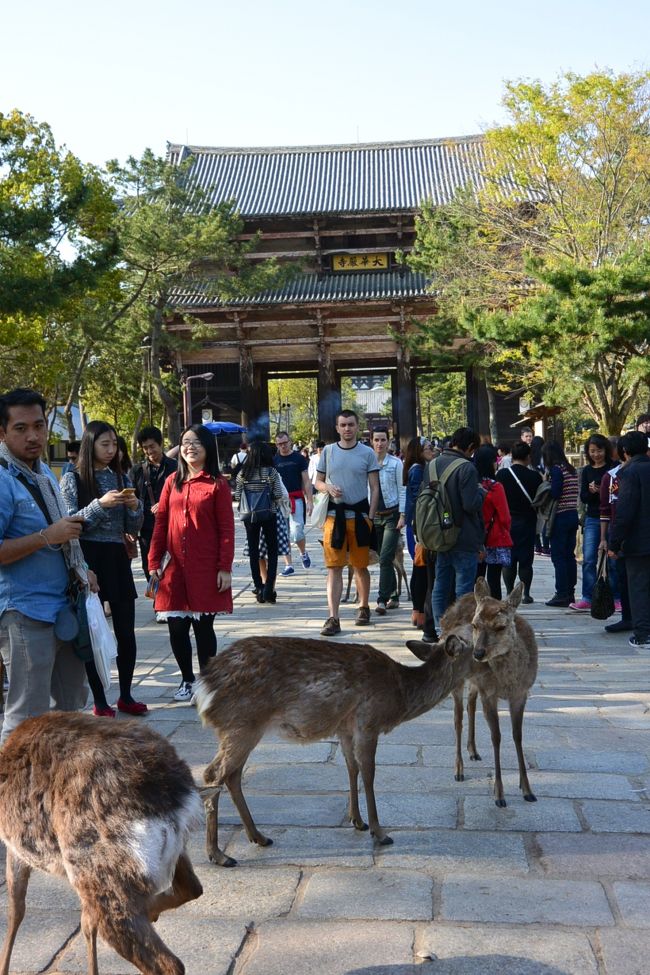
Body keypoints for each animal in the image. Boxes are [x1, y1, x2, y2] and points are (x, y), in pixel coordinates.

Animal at [0, 712, 204, 975]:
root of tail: (175, 796)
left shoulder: (15, 846)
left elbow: (15, 907)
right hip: (168, 853)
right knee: (191, 887)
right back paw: (150, 911)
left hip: (100, 870)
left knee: (168, 963)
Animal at [194, 630, 473, 867]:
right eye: (475, 652)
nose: (483, 658)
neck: (399, 695)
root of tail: (204, 688)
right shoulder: (368, 722)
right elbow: (369, 773)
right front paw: (380, 832)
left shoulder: (346, 729)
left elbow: (352, 769)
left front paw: (357, 821)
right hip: (242, 724)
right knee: (213, 773)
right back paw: (218, 855)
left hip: (244, 729)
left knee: (232, 775)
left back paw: (259, 837)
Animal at [407, 578, 538, 808]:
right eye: (475, 625)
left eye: (501, 626)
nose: (478, 653)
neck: (508, 682)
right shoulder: (490, 693)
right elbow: (496, 737)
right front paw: (499, 795)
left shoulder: (521, 694)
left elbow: (518, 736)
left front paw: (527, 790)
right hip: (459, 681)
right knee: (458, 718)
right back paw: (459, 769)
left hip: (475, 682)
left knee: (471, 704)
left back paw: (473, 751)